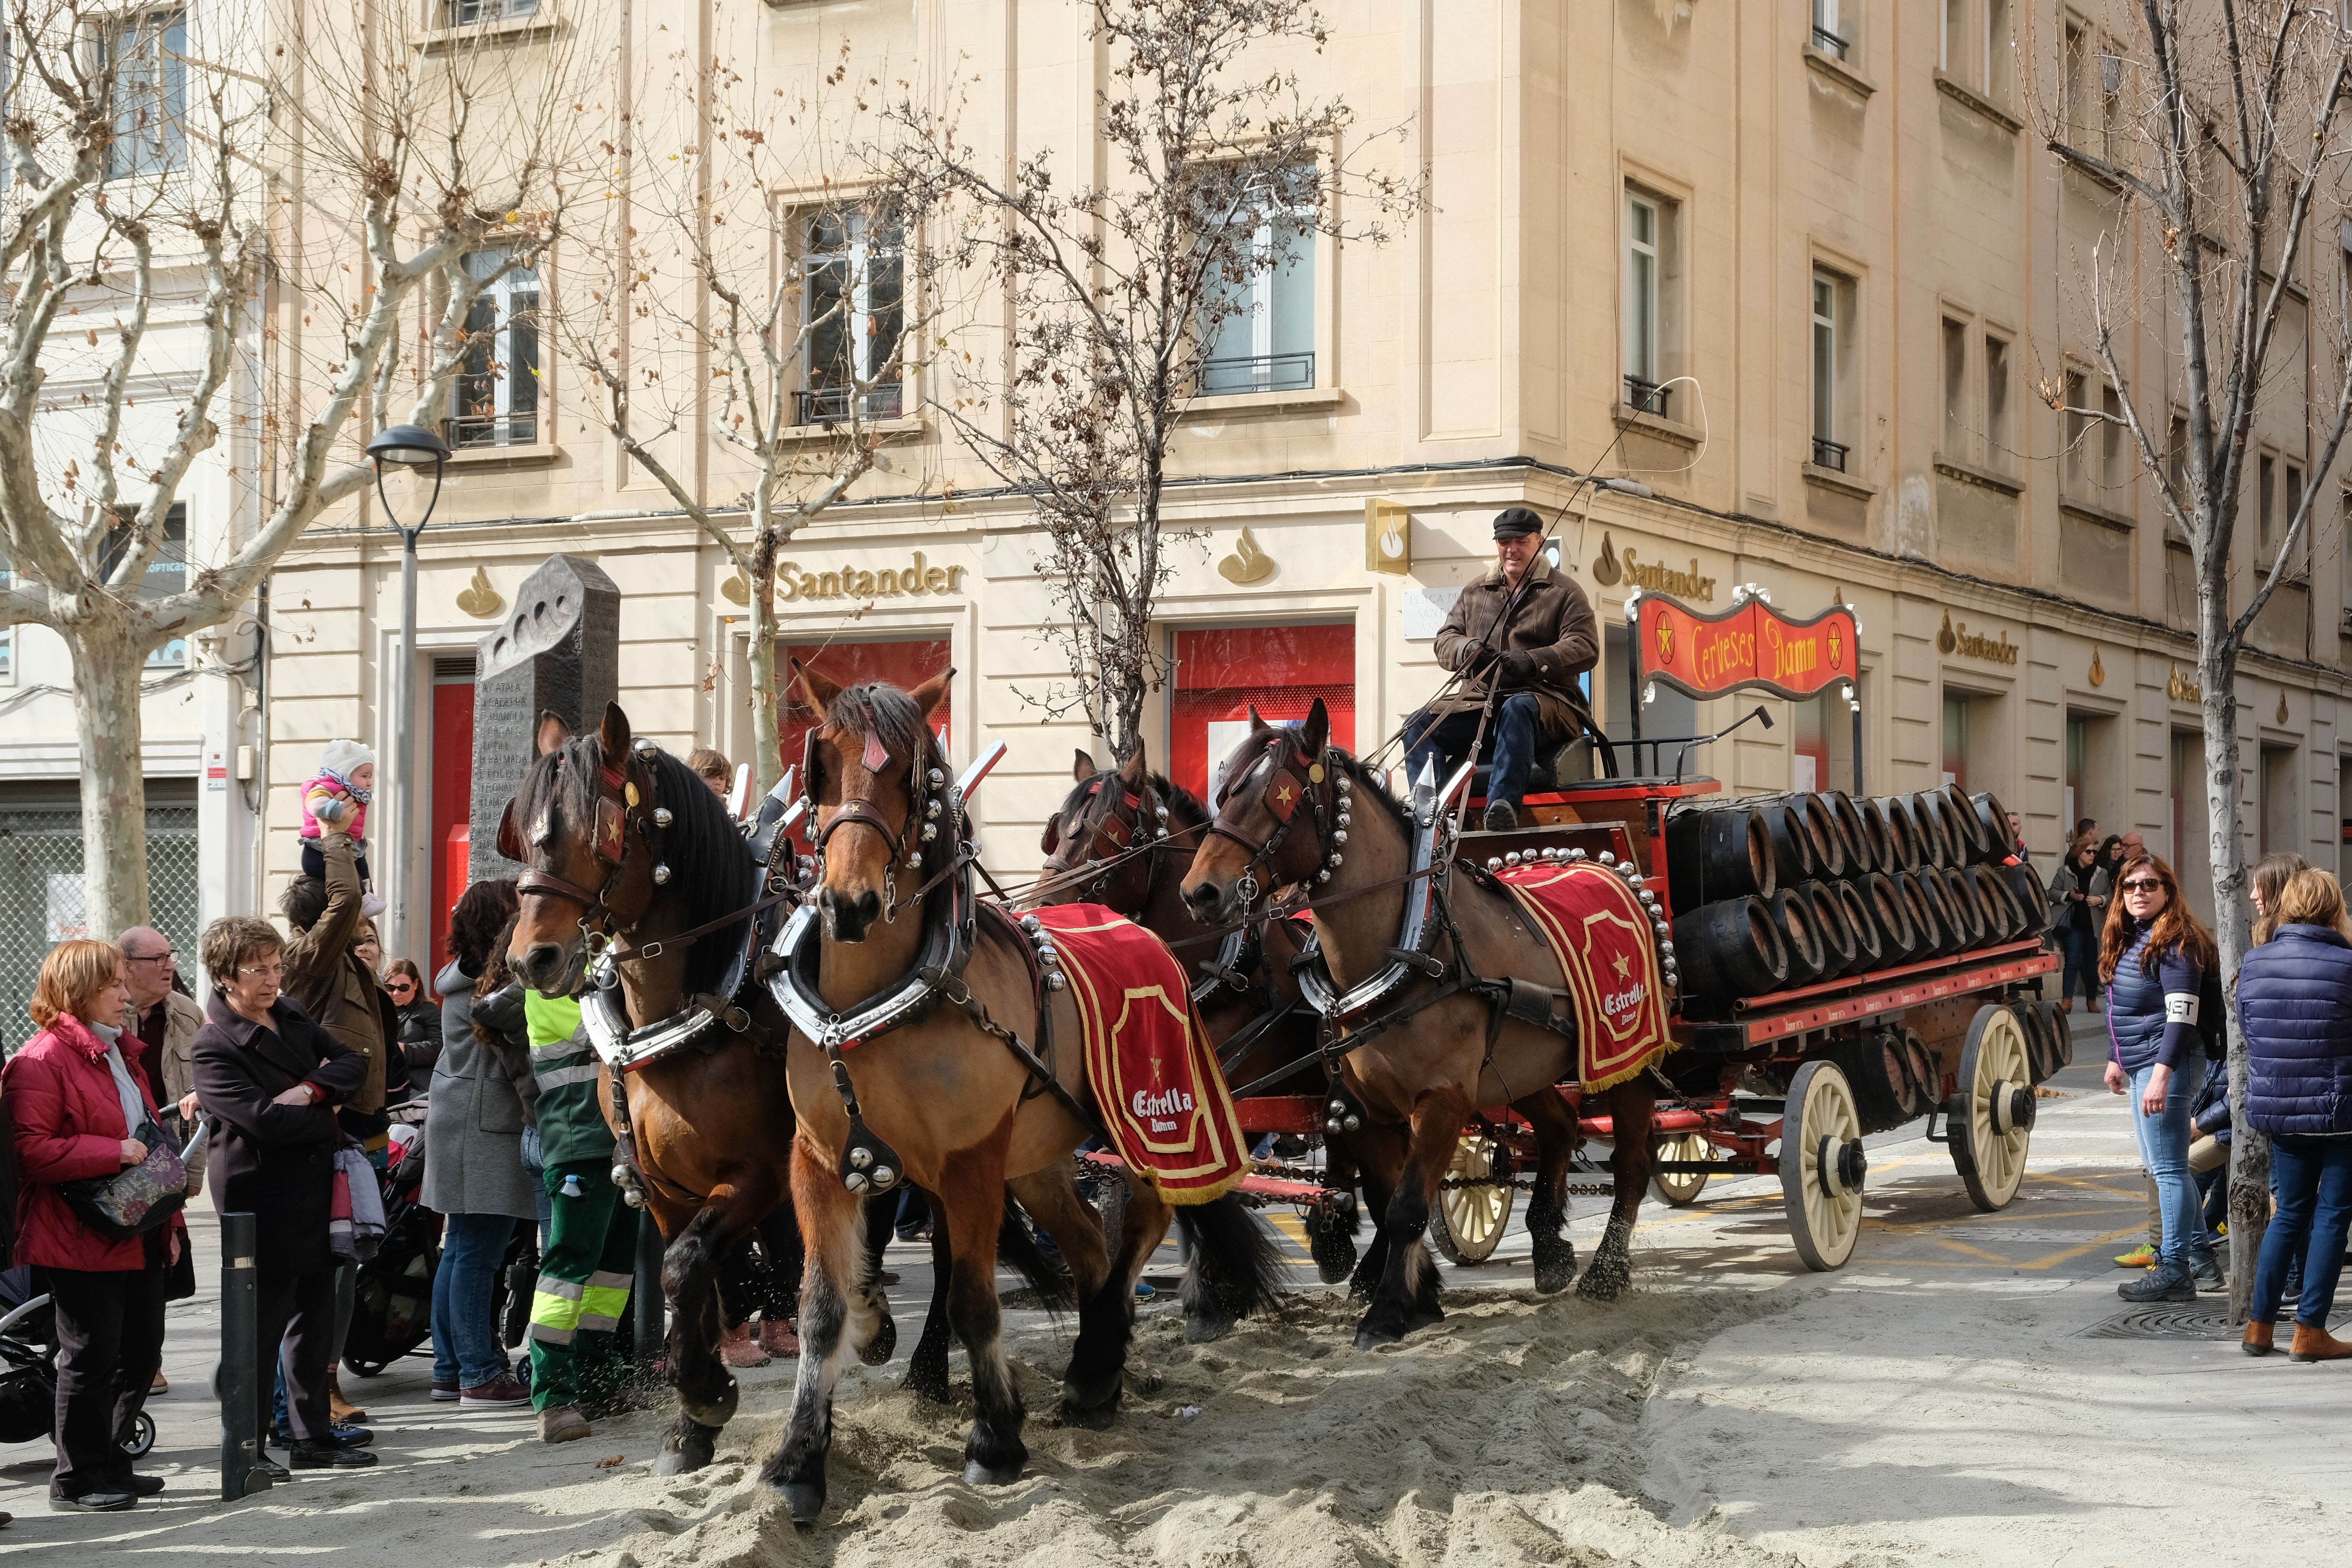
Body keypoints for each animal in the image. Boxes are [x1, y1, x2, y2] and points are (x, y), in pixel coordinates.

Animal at [771, 672, 1279, 1523]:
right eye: (822, 763)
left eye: (911, 773)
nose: (848, 903)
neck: (871, 1008)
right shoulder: (819, 1162)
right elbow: (820, 1310)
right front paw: (800, 1458)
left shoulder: (970, 1164)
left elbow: (974, 1301)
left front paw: (994, 1441)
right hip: (1038, 1158)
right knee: (1091, 1248)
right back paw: (1094, 1369)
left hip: (1145, 1126)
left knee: (1141, 1223)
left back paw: (1099, 1362)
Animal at [1171, 700, 1656, 1354]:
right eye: (1222, 792)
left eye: (1278, 796)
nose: (1199, 892)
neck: (1409, 946)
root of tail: (1601, 866)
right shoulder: (1365, 1106)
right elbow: (1388, 1199)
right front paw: (1418, 1296)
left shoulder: (1443, 1101)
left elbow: (1405, 1207)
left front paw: (1387, 1311)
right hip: (1520, 1069)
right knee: (1560, 1125)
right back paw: (1550, 1248)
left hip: (1624, 1060)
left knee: (1632, 1160)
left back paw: (1606, 1270)